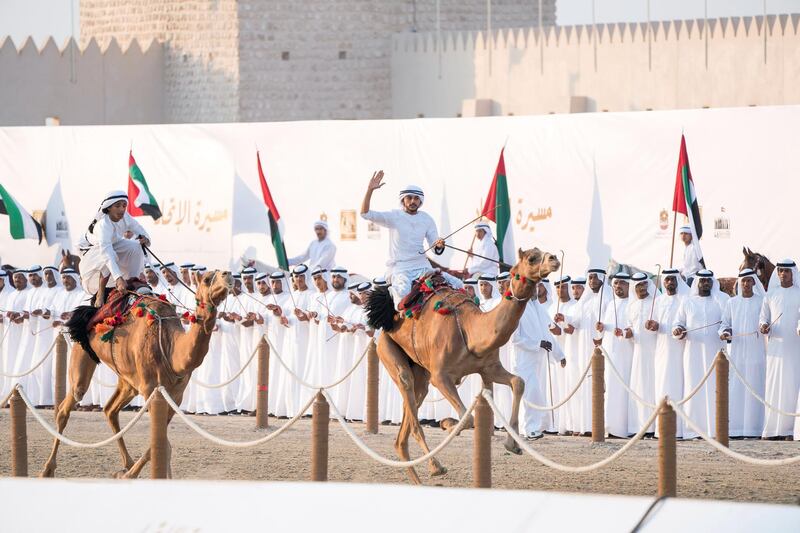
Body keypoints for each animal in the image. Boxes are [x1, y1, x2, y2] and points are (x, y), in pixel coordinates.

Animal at [40, 270, 233, 478]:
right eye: (207, 279)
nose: (228, 275)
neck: (171, 348)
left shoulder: (175, 396)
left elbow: (162, 443)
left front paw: (139, 474)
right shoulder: (151, 390)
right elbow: (161, 443)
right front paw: (130, 475)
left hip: (128, 380)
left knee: (110, 409)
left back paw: (127, 464)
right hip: (82, 353)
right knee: (68, 403)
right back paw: (47, 469)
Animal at [366, 247, 560, 484]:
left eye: (542, 252)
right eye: (532, 258)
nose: (554, 259)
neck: (469, 329)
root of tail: (384, 322)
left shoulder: (489, 367)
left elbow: (518, 382)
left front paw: (512, 444)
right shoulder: (440, 376)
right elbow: (467, 418)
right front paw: (447, 424)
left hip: (420, 370)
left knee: (405, 426)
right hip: (388, 350)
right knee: (408, 395)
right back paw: (435, 466)